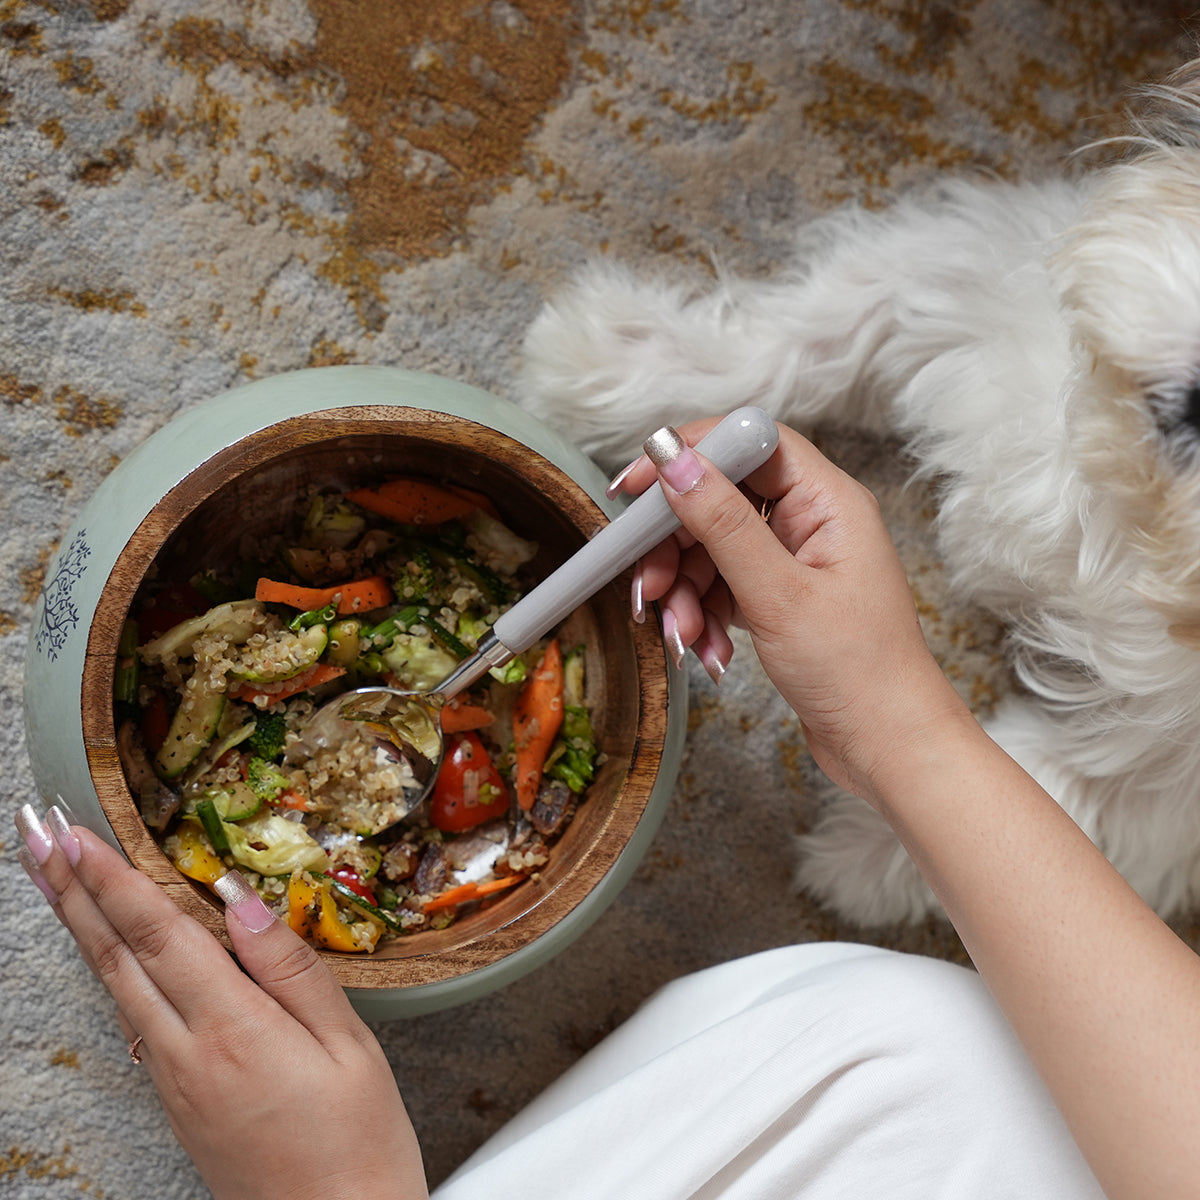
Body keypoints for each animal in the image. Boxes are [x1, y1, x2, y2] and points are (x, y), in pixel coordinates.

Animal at [518, 63, 1200, 926]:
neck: (1118, 489)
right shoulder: (963, 283)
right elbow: (813, 337)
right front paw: (608, 363)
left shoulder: (1164, 772)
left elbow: (1055, 789)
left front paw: (863, 856)